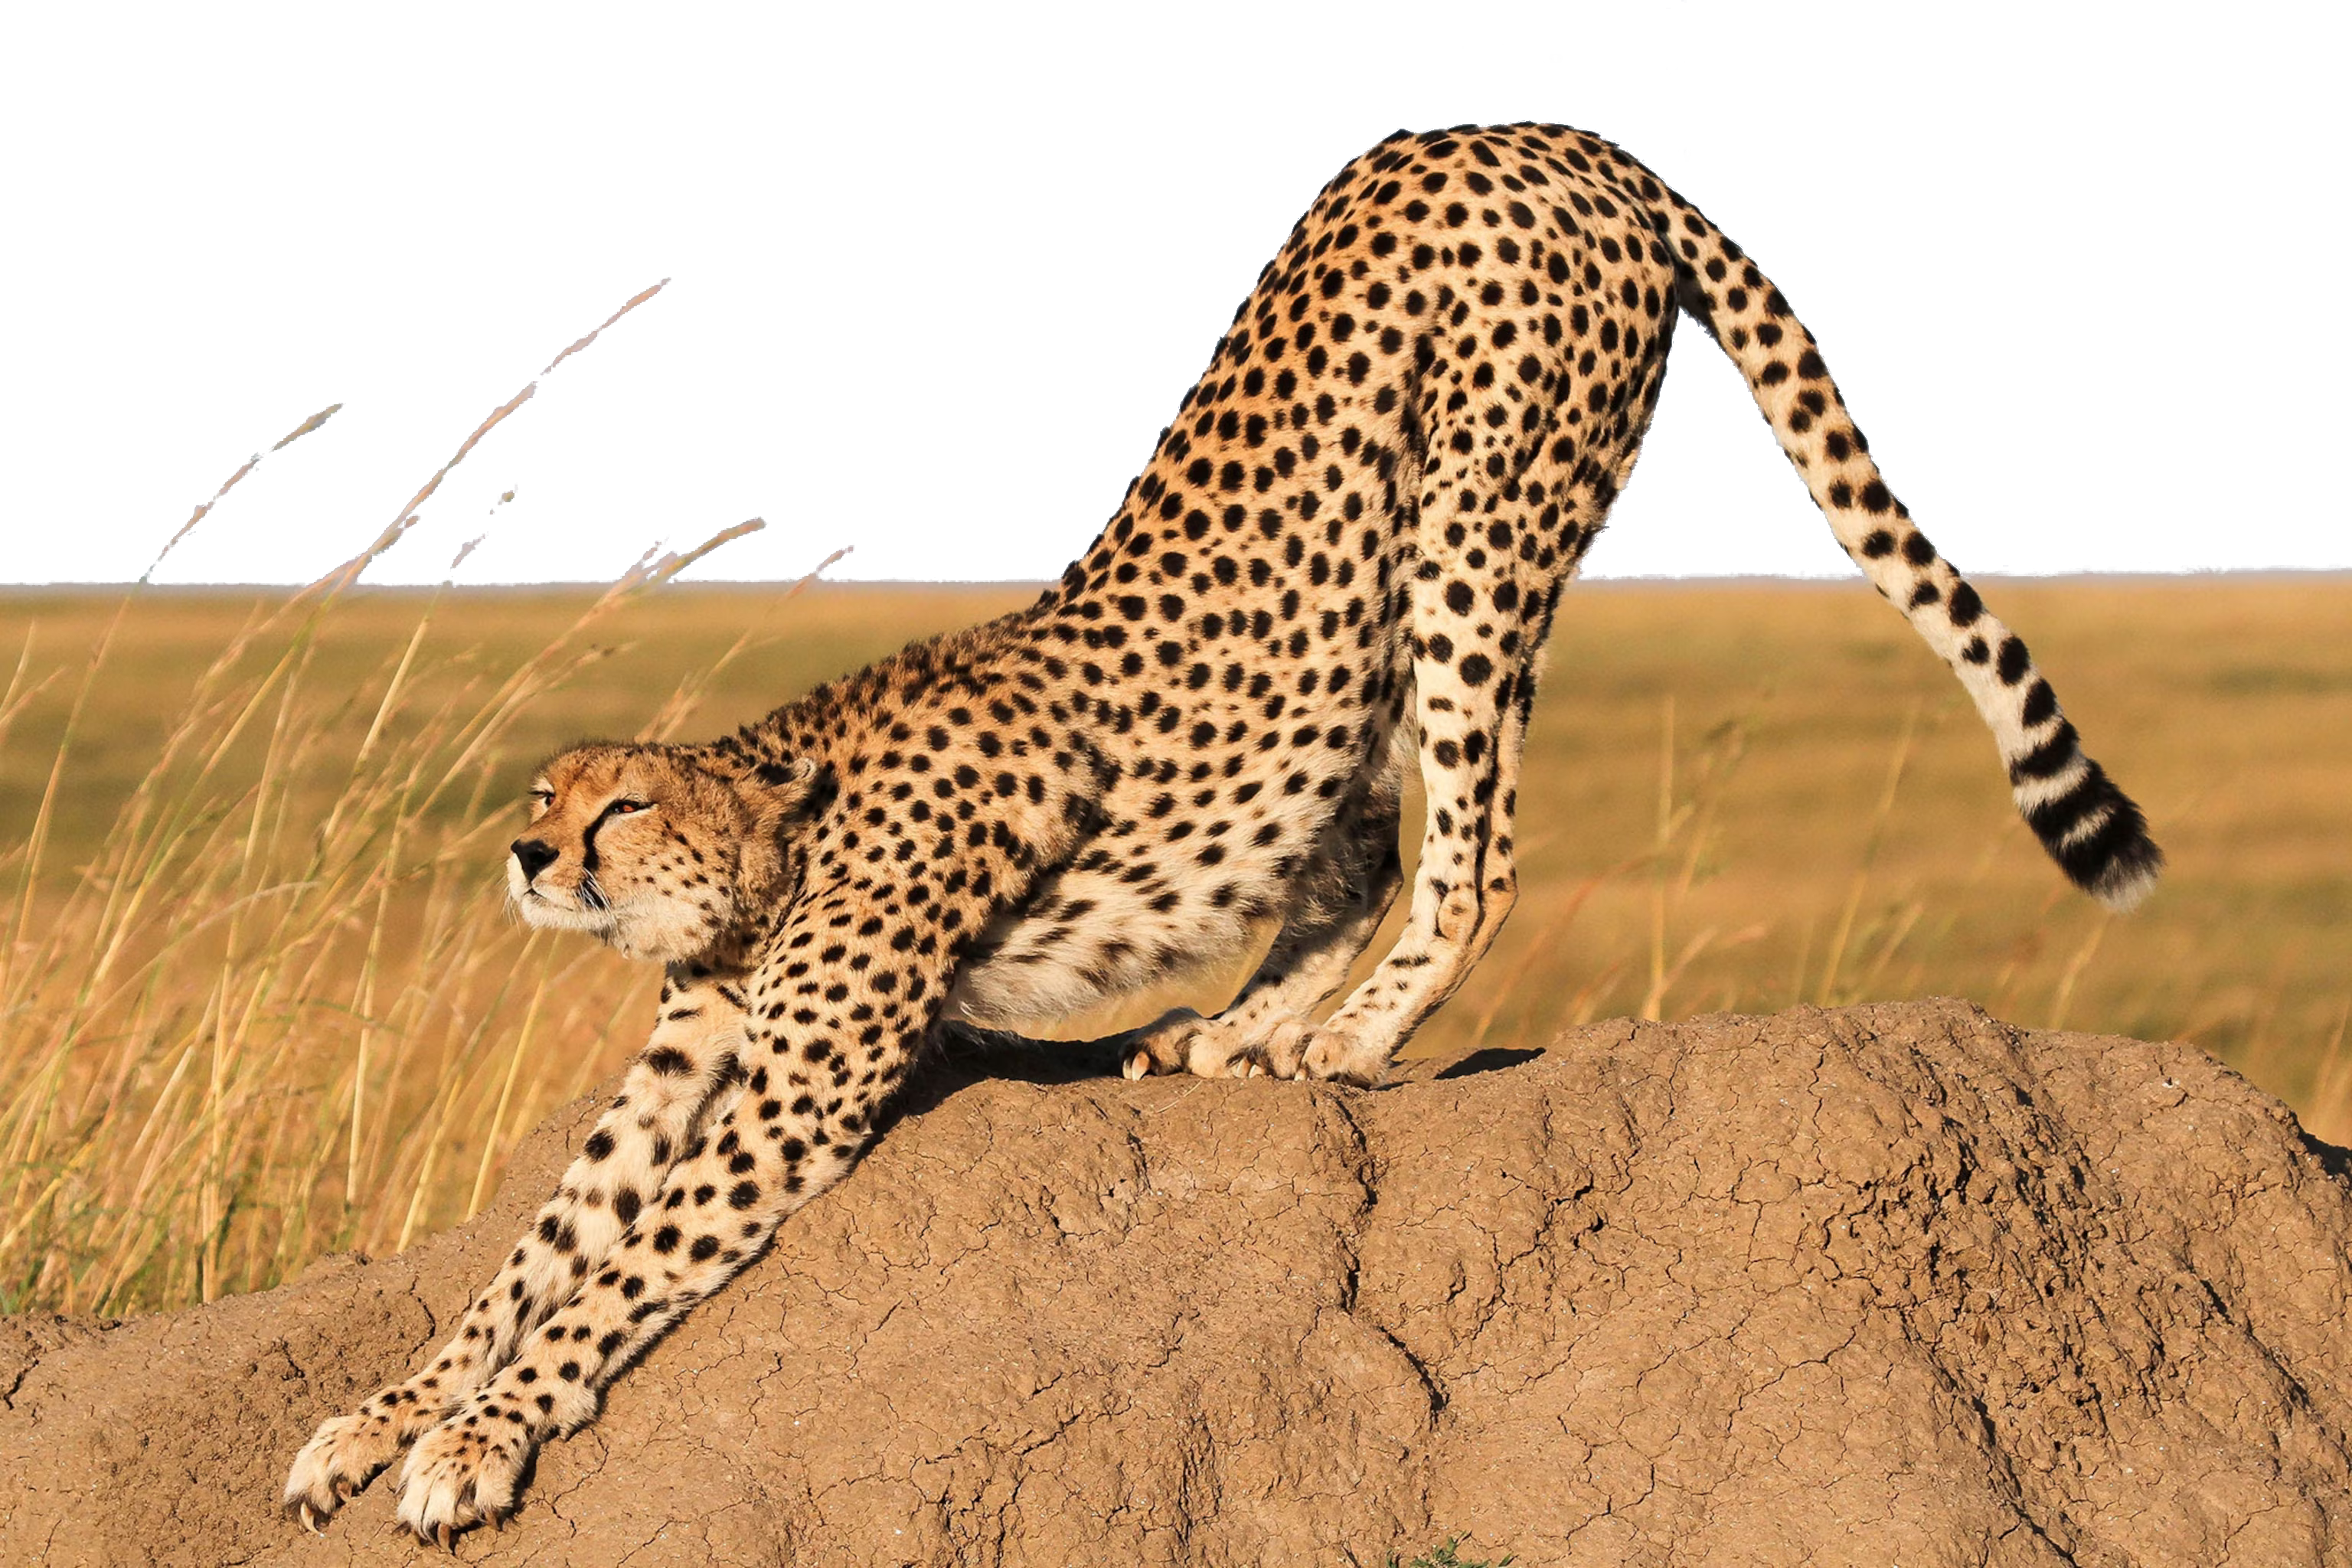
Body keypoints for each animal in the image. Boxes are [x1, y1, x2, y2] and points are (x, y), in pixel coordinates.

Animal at [284, 120, 2163, 1546]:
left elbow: (619, 1271)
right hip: (1378, 609)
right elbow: (533, 1252)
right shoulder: (687, 1053)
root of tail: (1545, 133)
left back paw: (1343, 1039)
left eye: (618, 808)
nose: (528, 859)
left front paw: (482, 1437)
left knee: (1469, 848)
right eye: (542, 797)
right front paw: (381, 1413)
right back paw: (1235, 1031)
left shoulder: (805, 1081)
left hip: (1474, 535)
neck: (767, 851)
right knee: (1352, 842)